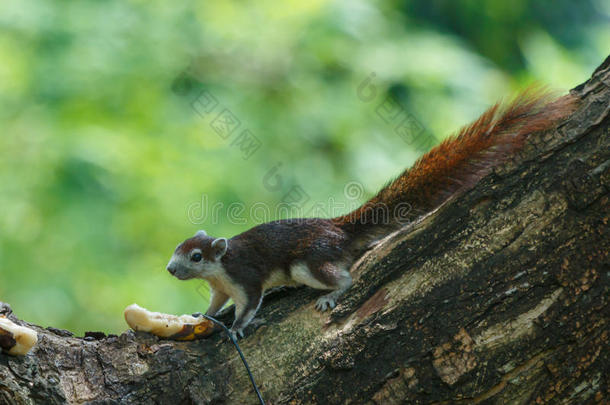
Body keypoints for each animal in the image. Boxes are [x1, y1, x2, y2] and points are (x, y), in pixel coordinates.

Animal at [165, 89, 576, 338]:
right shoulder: (220, 287)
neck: (220, 269)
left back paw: (332, 294)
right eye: (178, 248)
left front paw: (237, 327)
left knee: (344, 276)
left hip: (308, 261)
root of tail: (339, 230)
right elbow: (215, 304)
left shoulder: (245, 277)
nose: (170, 269)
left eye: (196, 256)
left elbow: (249, 304)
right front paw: (204, 316)